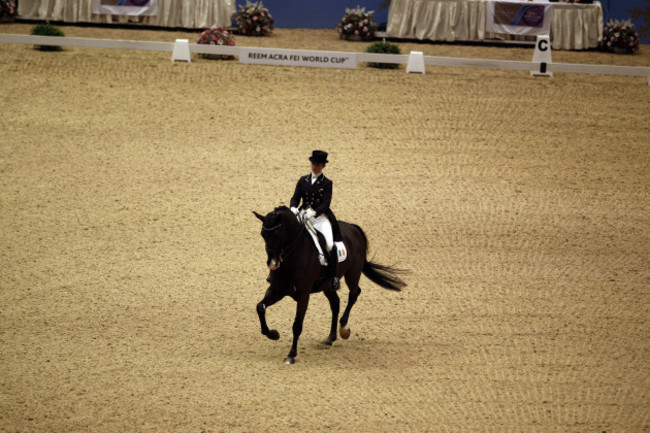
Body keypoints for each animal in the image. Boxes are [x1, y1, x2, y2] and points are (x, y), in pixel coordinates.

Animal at [251, 206, 402, 364]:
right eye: (263, 234)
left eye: (278, 234)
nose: (272, 264)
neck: (292, 258)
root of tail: (353, 228)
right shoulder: (277, 290)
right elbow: (260, 307)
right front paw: (273, 334)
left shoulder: (303, 295)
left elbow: (297, 325)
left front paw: (291, 355)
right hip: (328, 285)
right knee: (336, 303)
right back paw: (330, 338)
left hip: (353, 274)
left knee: (354, 294)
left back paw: (344, 329)